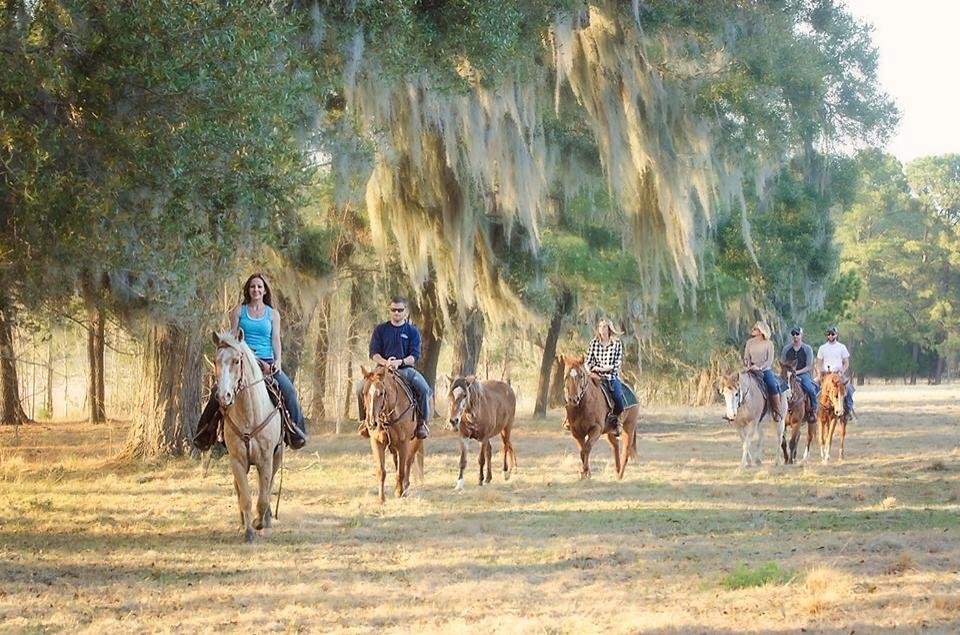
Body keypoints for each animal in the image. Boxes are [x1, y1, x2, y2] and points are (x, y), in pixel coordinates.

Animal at [213, 330, 284, 544]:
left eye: (236, 361)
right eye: (216, 361)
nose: (224, 396)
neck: (249, 415)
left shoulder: (266, 460)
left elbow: (263, 498)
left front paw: (260, 523)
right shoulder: (237, 461)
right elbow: (245, 497)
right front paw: (249, 530)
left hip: (277, 457)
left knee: (269, 487)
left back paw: (266, 521)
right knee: (239, 489)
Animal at [360, 366, 424, 504]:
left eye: (381, 393)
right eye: (364, 393)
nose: (372, 423)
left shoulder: (404, 444)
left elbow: (401, 471)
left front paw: (400, 492)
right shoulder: (376, 442)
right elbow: (381, 471)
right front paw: (381, 499)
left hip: (415, 441)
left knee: (408, 463)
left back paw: (405, 487)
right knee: (397, 462)